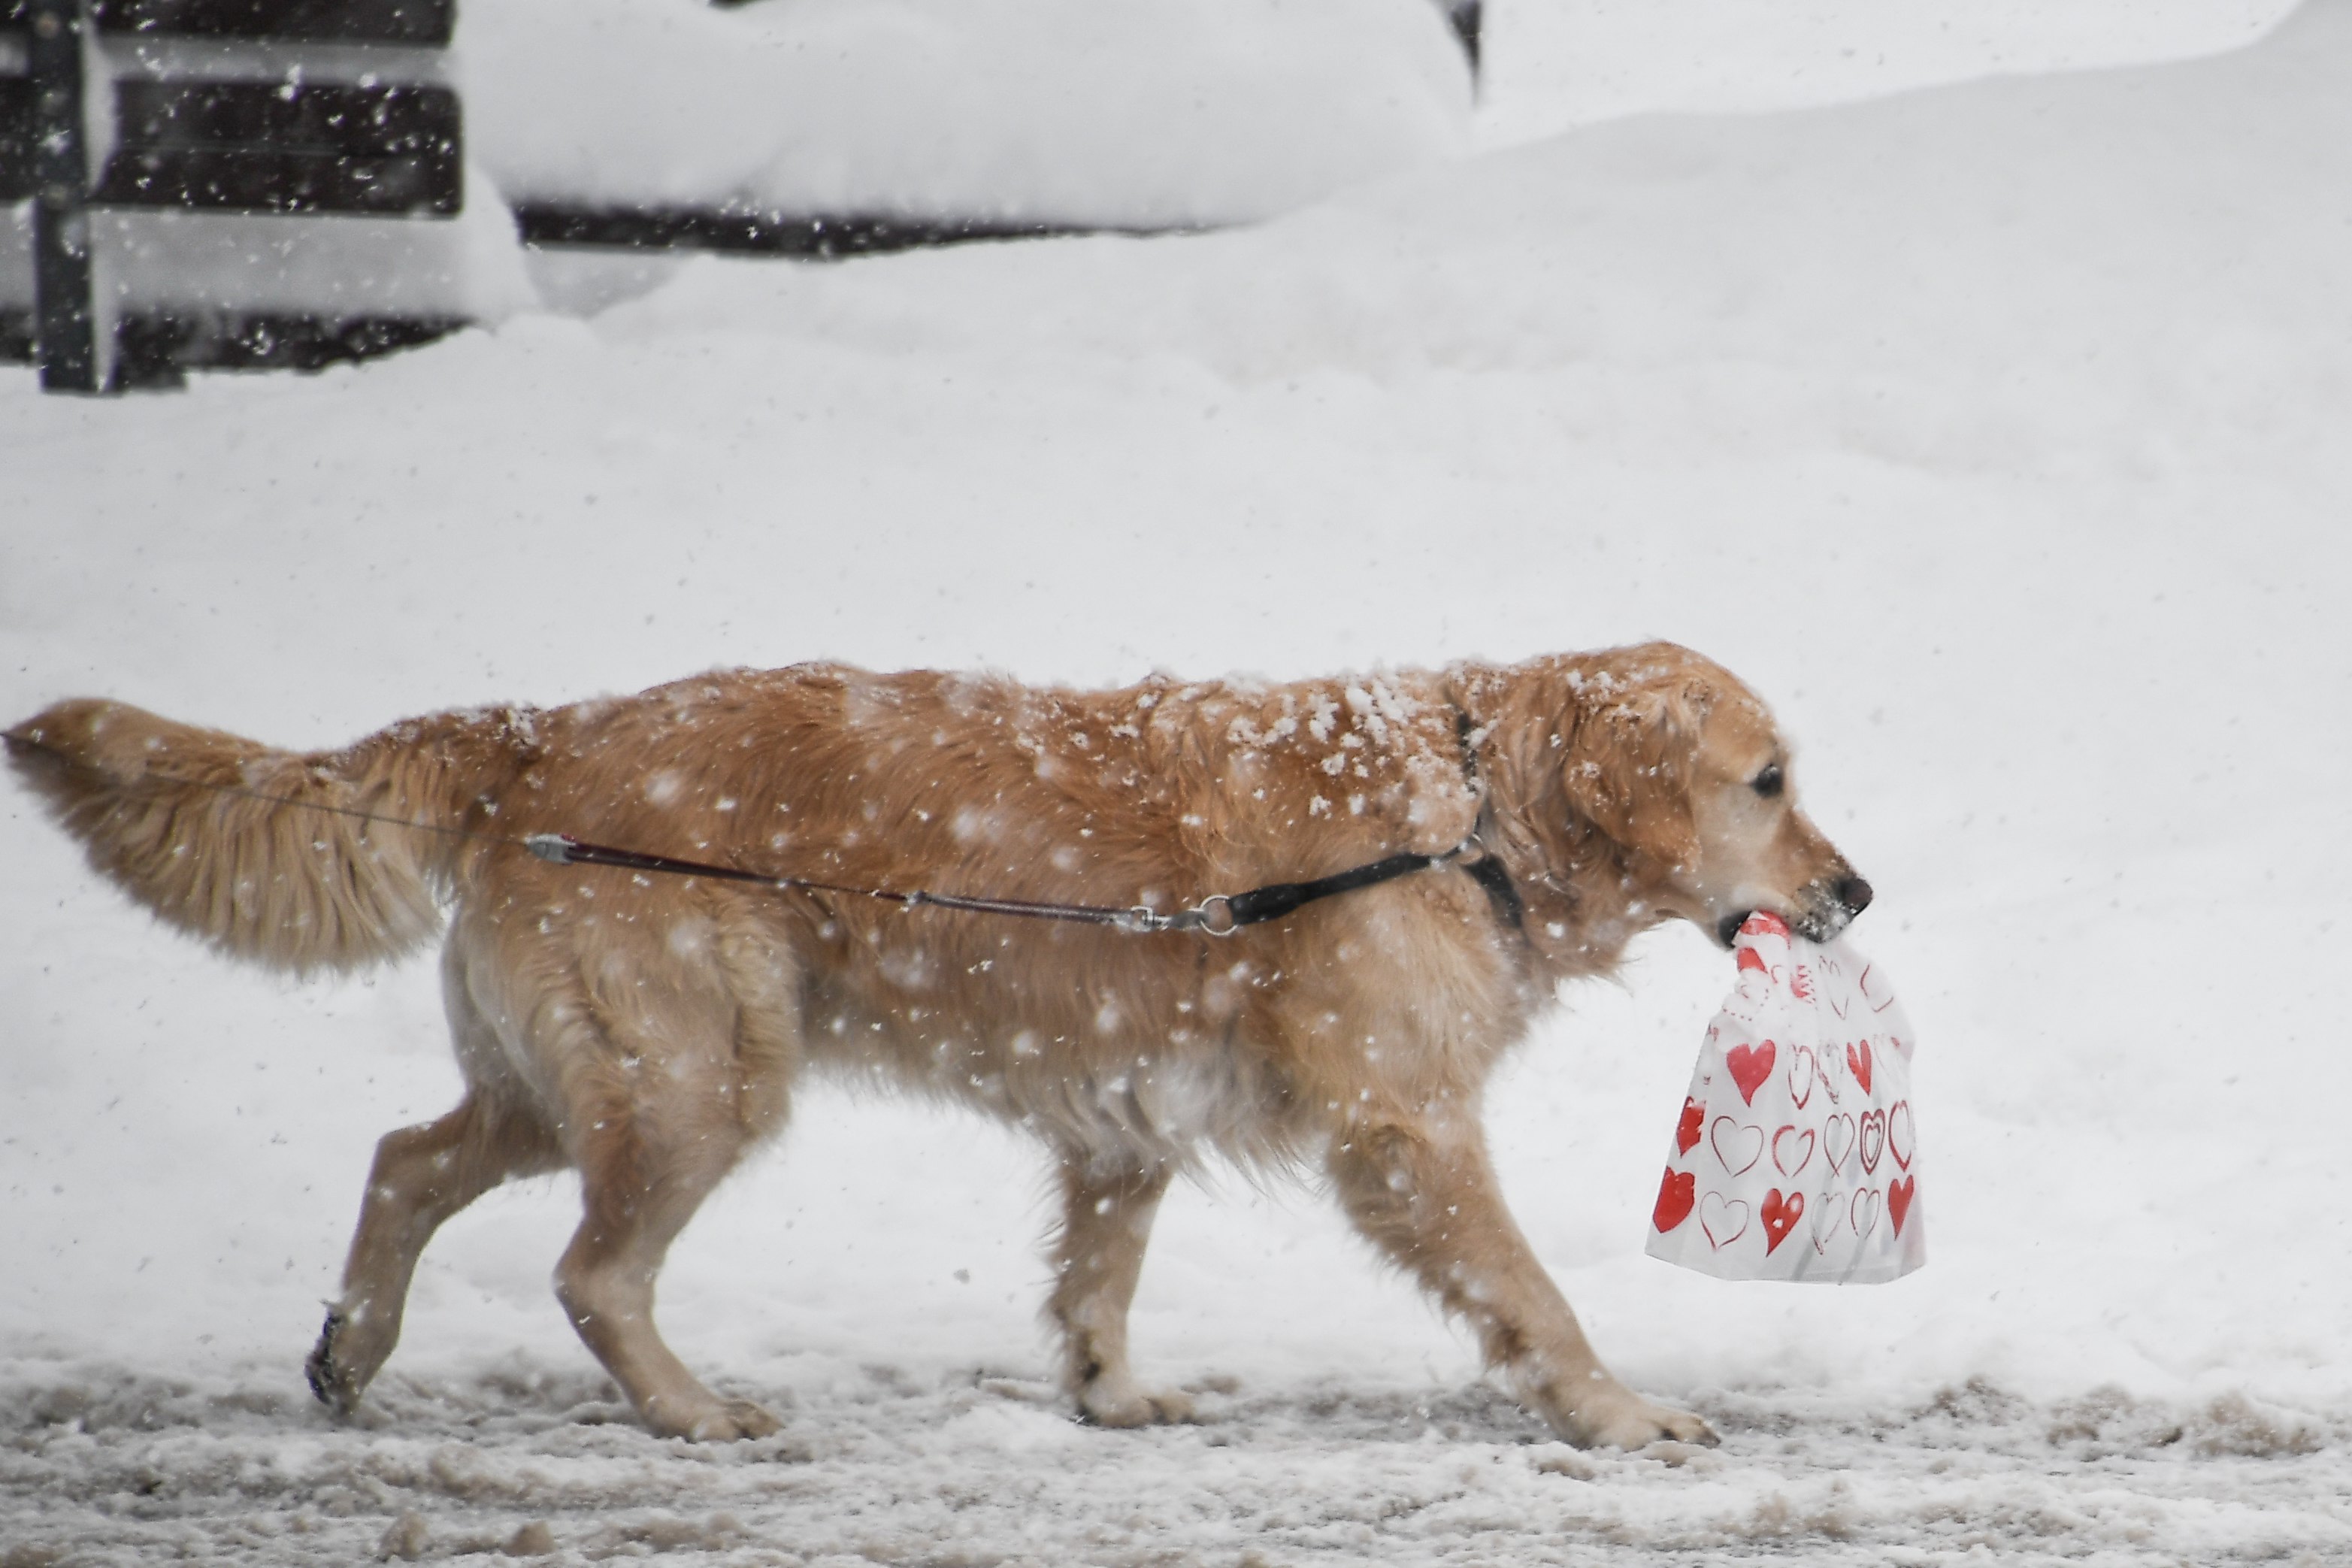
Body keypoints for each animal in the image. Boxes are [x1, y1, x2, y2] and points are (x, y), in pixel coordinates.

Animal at [5, 643, 1872, 1458]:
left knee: (406, 1156)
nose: (1855, 889)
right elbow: (1532, 1289)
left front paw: (1109, 1390)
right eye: (1766, 778)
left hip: (565, 1077)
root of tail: (538, 728)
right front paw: (1619, 1409)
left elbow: (1100, 1270)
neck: (1466, 807)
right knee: (592, 1269)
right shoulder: (1401, 1121)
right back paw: (689, 1407)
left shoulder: (1127, 1107)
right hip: (700, 1073)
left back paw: (351, 1349)